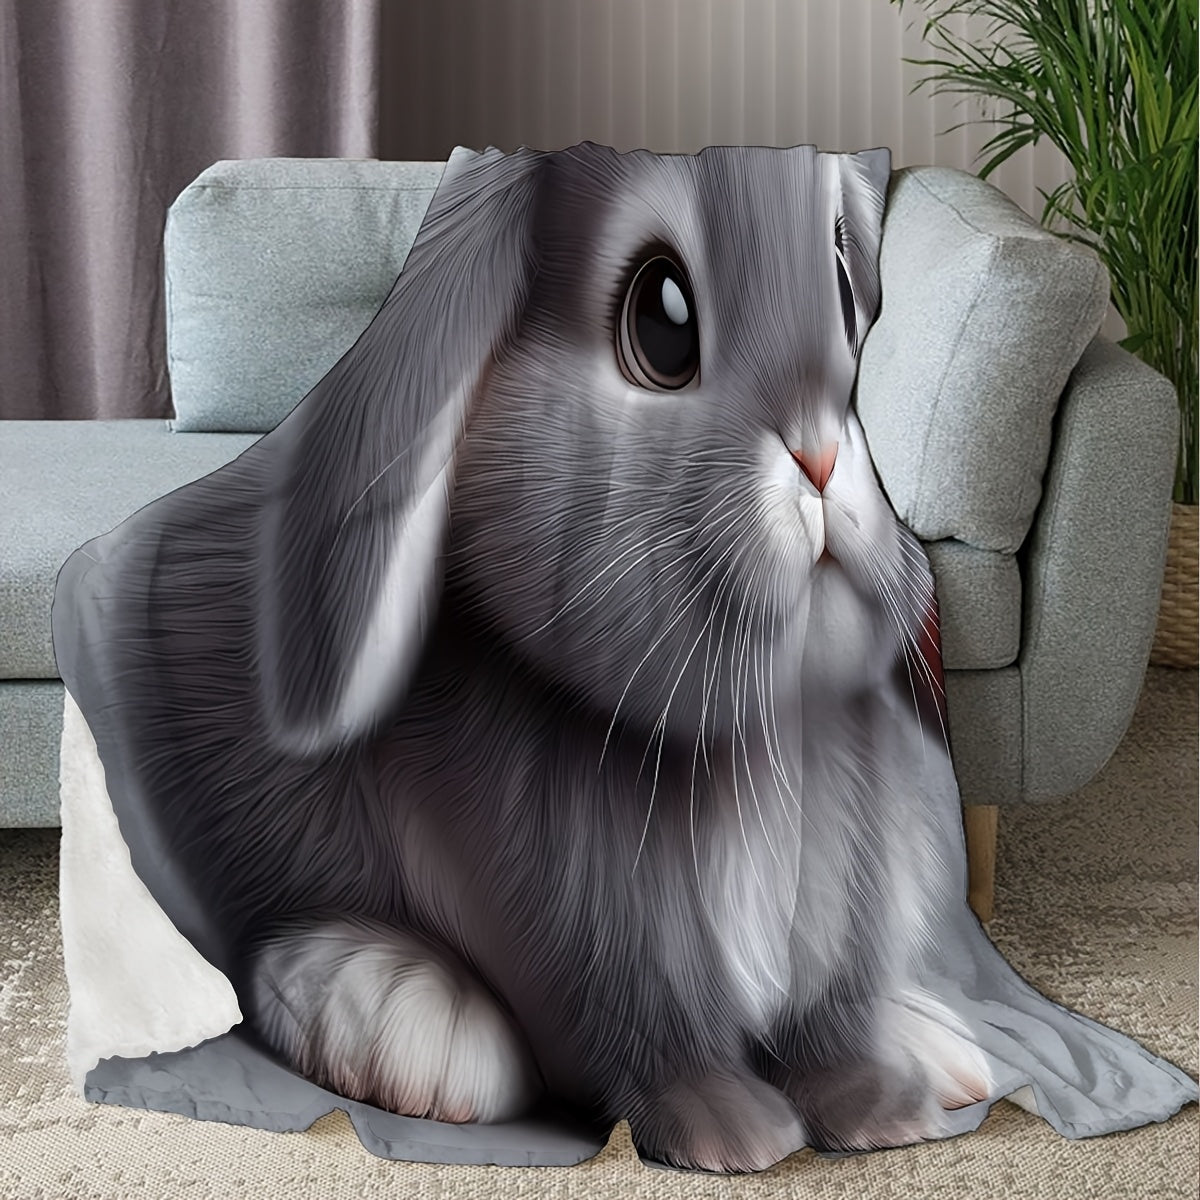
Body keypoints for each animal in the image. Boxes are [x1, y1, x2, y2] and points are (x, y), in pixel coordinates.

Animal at [52, 141, 1198, 1175]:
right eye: (661, 321)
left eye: (846, 289)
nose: (826, 455)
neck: (741, 748)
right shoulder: (573, 945)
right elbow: (643, 1040)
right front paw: (734, 1139)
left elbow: (829, 1028)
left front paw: (881, 1114)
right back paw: (398, 1025)